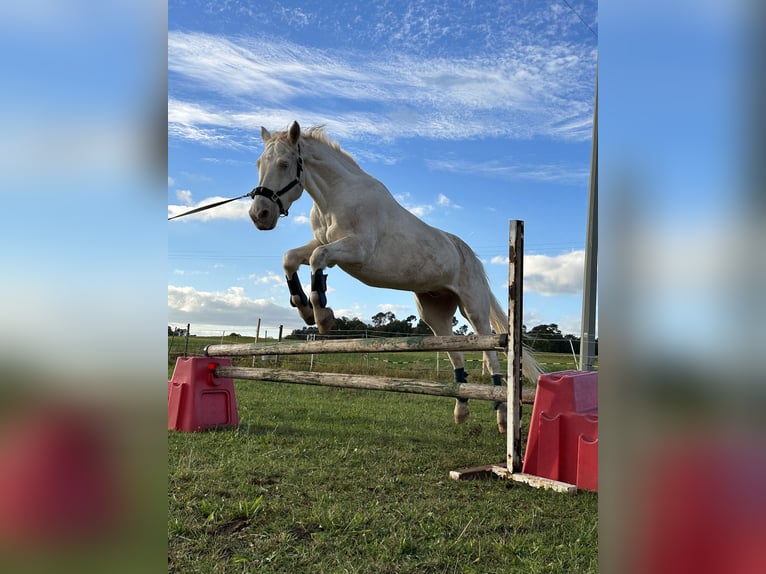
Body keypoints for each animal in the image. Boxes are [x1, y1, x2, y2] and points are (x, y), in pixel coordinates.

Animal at [249, 122, 544, 432]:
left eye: (284, 164)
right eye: (259, 164)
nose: (260, 214)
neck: (335, 197)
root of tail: (470, 255)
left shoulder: (357, 250)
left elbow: (318, 258)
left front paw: (322, 316)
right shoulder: (321, 243)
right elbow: (291, 258)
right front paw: (304, 308)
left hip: (473, 308)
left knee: (490, 354)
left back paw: (501, 414)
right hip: (434, 313)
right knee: (456, 354)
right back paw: (461, 409)